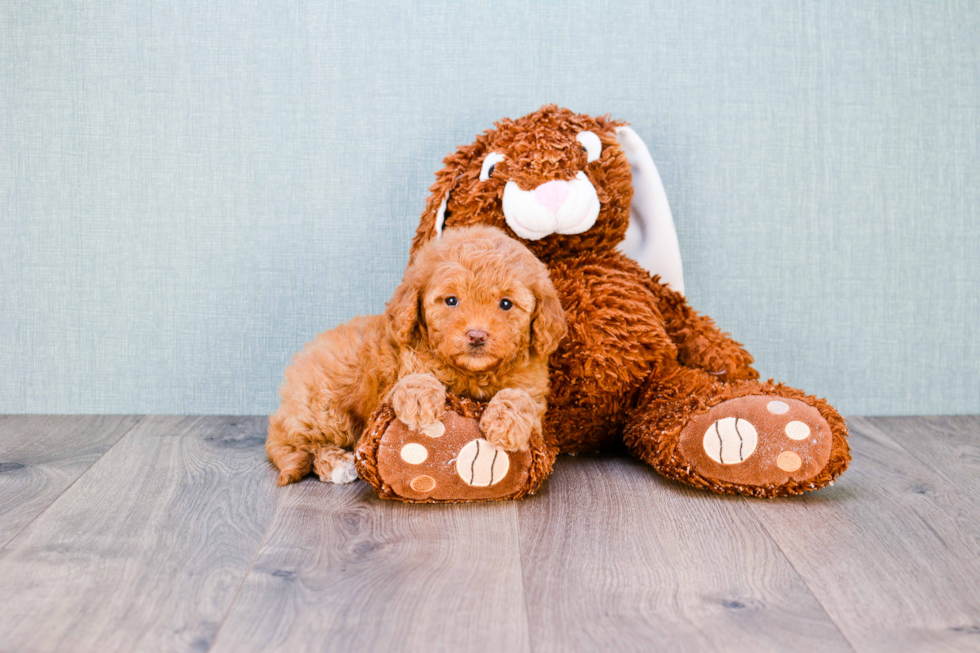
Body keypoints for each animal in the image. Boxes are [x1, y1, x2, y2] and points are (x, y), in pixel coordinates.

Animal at [264, 224, 568, 484]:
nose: (477, 335)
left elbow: (519, 397)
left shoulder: (533, 387)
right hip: (323, 406)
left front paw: (506, 424)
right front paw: (420, 401)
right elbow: (418, 378)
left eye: (506, 304)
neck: (473, 373)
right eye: (451, 301)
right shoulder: (403, 371)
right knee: (301, 444)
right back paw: (337, 464)